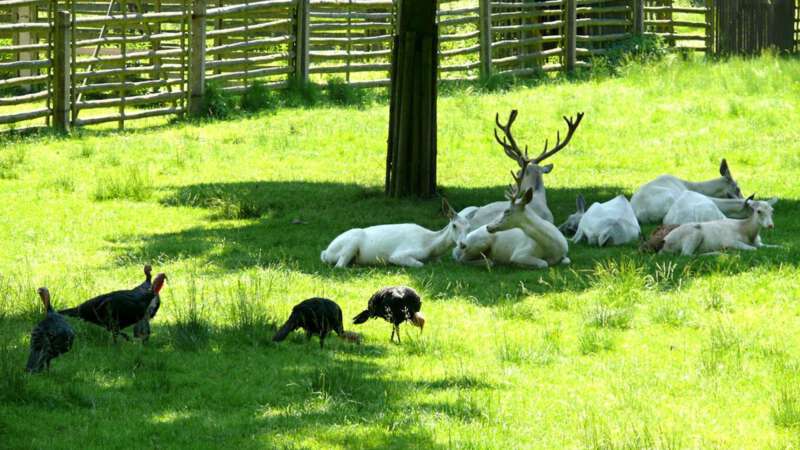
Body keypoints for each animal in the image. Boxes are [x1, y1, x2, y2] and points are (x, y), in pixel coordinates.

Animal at [318, 198, 468, 268]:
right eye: (454, 225)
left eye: (469, 227)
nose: (463, 244)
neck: (431, 246)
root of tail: (326, 252)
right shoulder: (399, 254)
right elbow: (420, 264)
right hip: (350, 244)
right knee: (339, 266)